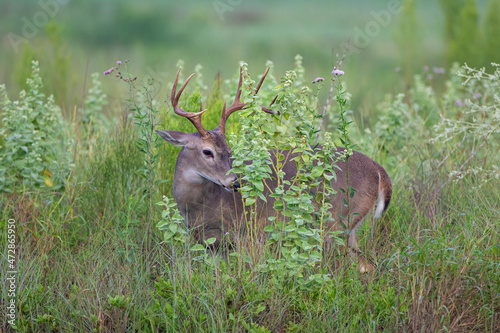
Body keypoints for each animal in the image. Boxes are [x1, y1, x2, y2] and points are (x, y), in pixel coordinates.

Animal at [158, 66, 392, 272]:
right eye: (207, 151)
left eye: (229, 150)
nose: (236, 182)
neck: (199, 206)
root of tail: (379, 170)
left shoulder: (246, 232)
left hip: (339, 220)